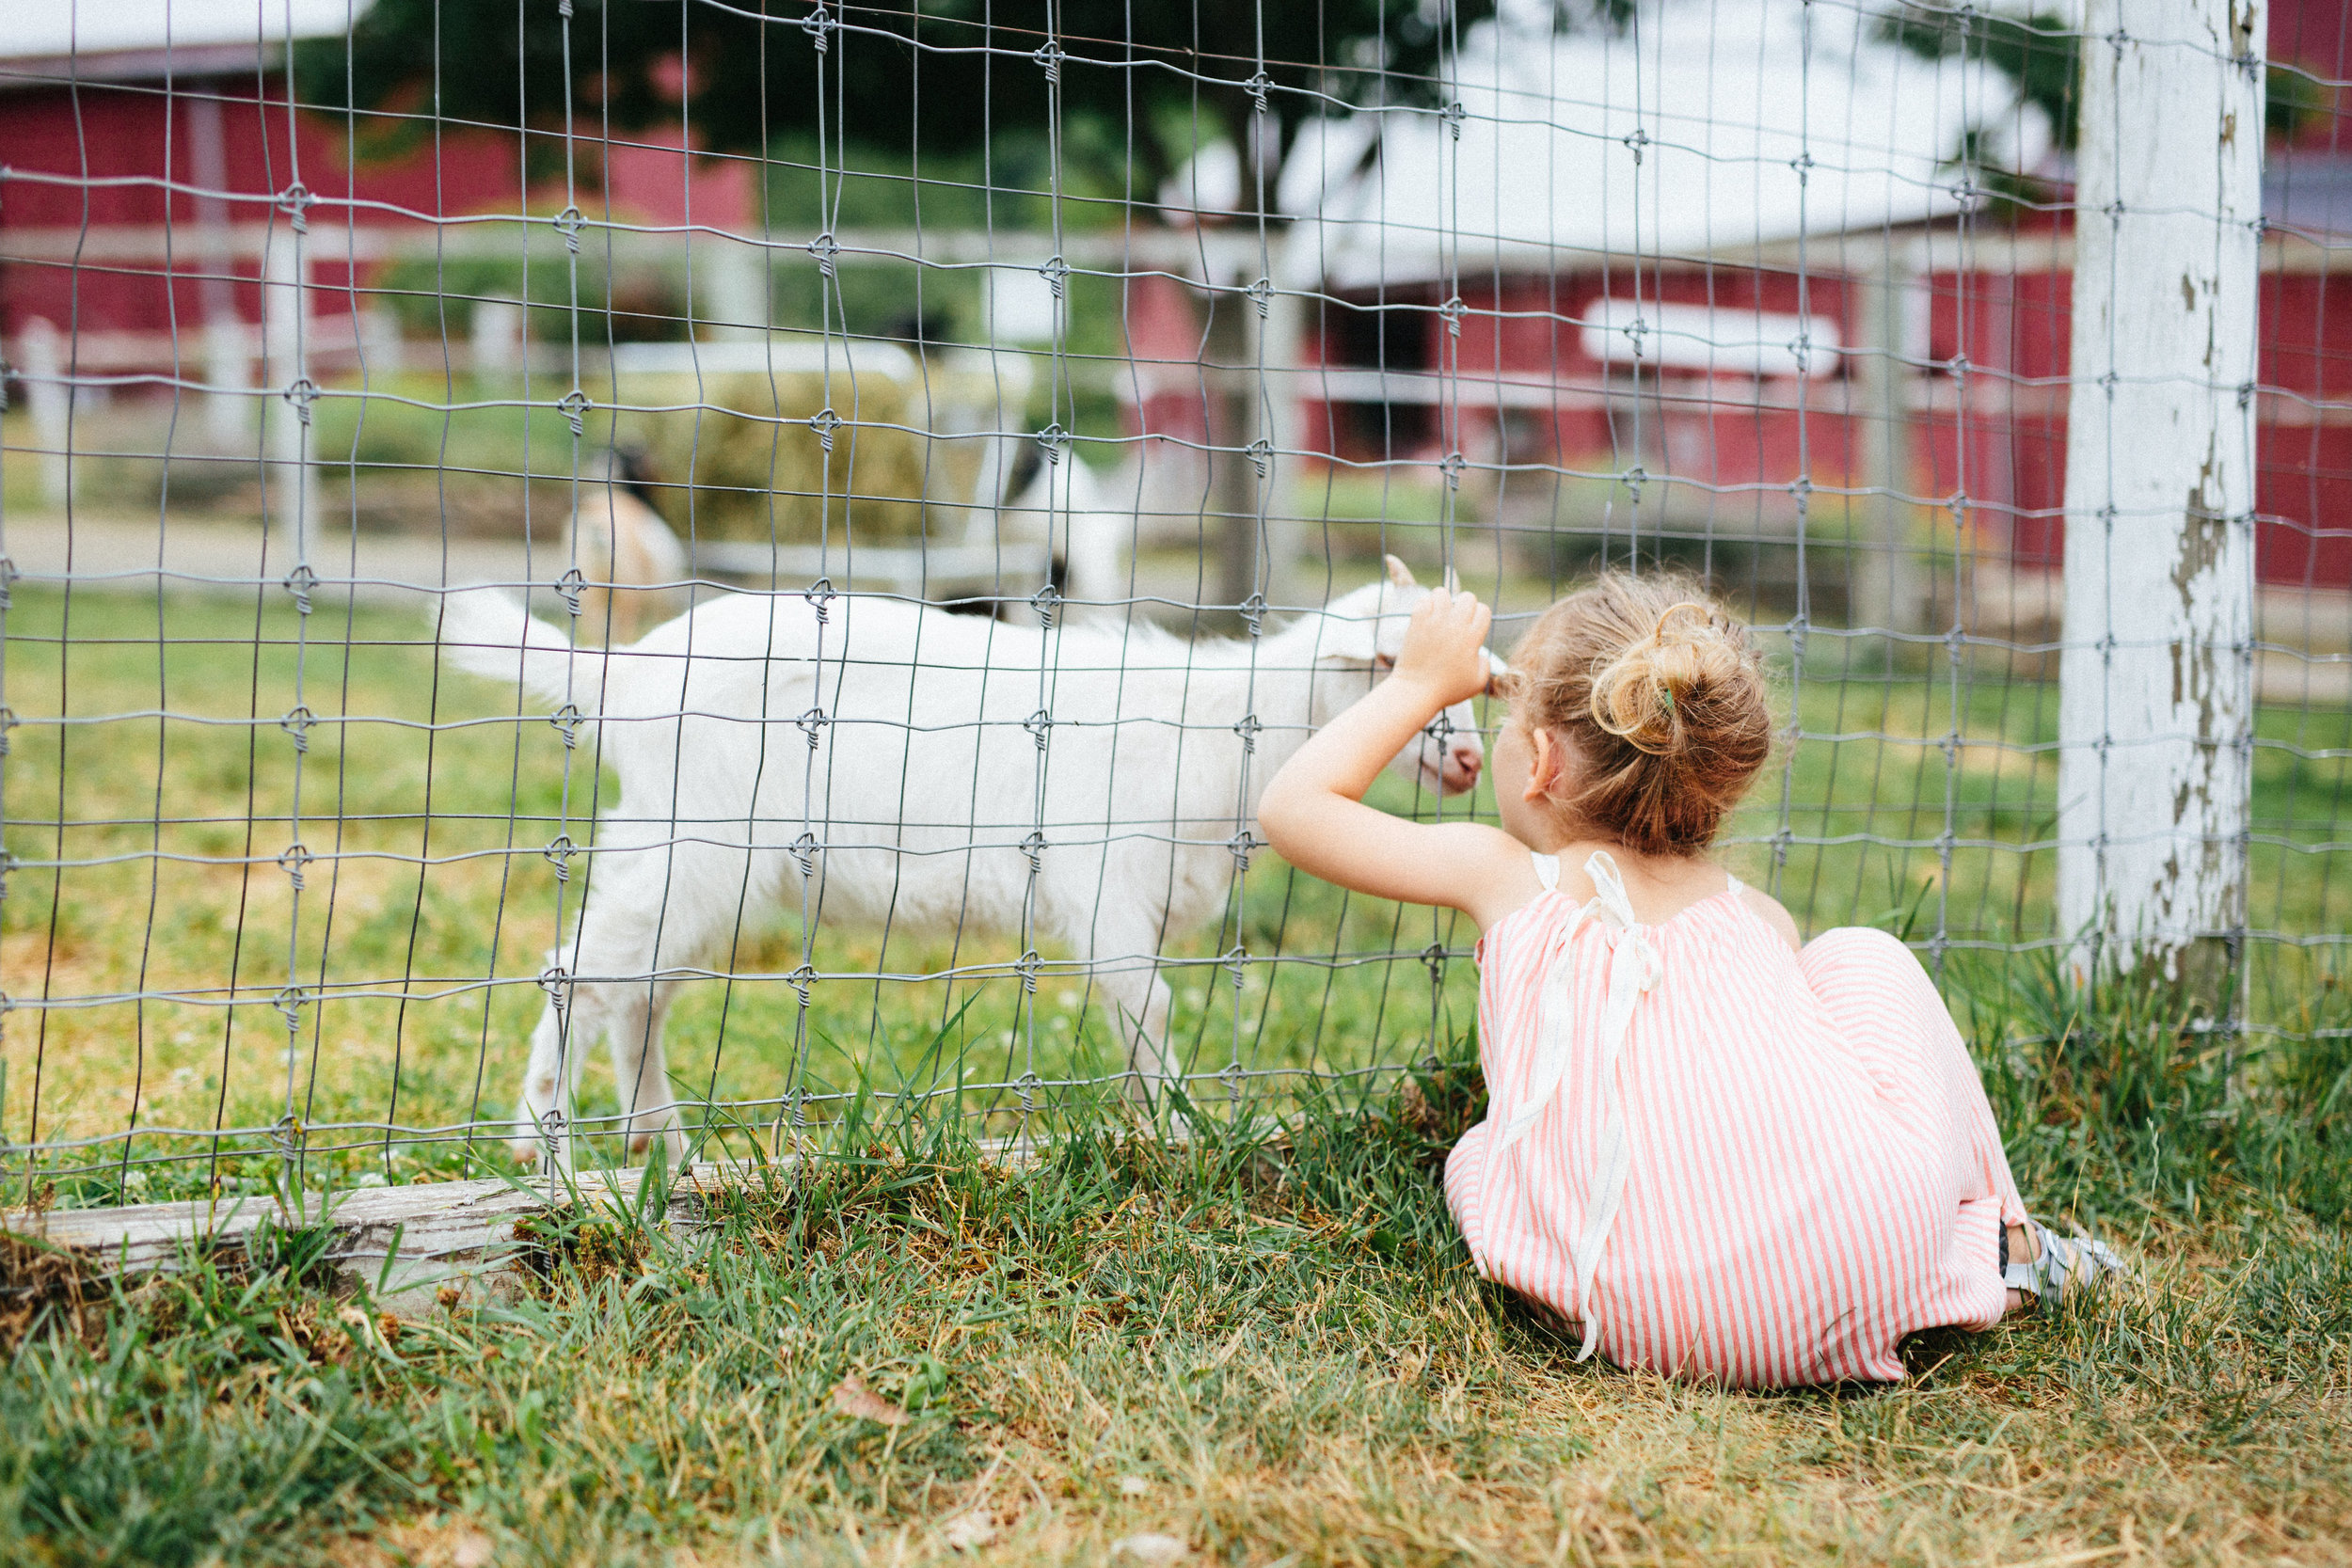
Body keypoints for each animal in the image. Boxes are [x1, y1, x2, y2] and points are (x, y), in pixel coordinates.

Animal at [433, 554, 1477, 1165]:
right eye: (1391, 671)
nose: (1468, 760)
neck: (1228, 731)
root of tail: (622, 676)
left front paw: (1164, 1124)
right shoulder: (1103, 880)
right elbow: (1147, 1004)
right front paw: (1178, 1130)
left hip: (688, 856)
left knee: (638, 988)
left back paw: (659, 1140)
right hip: (695, 841)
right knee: (582, 972)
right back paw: (544, 1152)